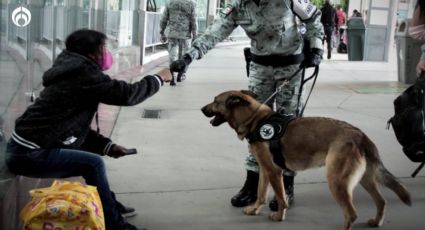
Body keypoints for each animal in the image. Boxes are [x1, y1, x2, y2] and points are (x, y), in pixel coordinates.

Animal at [202, 90, 410, 230]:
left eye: (215, 101)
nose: (202, 109)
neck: (256, 120)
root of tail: (360, 135)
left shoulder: (274, 172)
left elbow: (281, 198)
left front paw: (279, 216)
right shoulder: (264, 170)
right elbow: (261, 194)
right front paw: (254, 210)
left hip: (337, 182)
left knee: (352, 213)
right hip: (365, 180)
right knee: (381, 201)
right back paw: (376, 221)